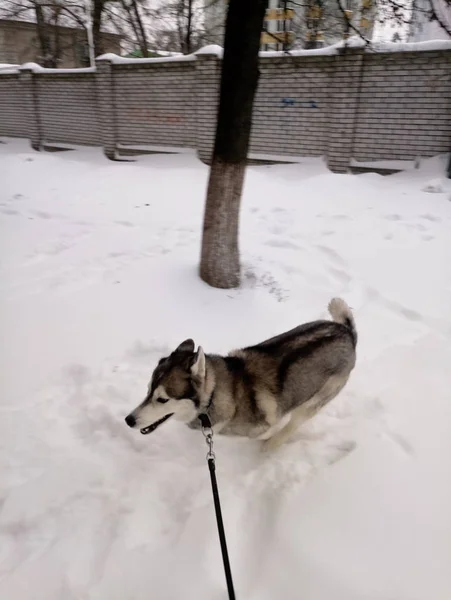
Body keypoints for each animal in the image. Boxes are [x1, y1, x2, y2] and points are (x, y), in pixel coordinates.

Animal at [125, 298, 358, 450]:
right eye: (148, 391)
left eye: (162, 399)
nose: (128, 420)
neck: (216, 396)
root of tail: (346, 332)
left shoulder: (263, 427)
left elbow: (270, 432)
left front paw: (269, 444)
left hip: (313, 402)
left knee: (293, 424)